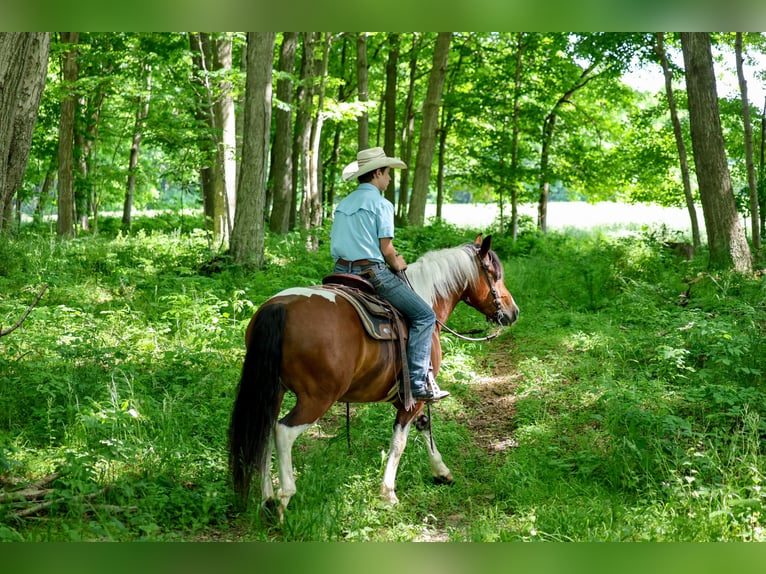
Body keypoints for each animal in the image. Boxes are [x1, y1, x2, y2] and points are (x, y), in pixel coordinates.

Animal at [227, 234, 519, 517]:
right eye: (495, 274)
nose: (513, 312)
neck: (427, 298)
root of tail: (280, 307)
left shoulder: (406, 396)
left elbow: (424, 425)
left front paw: (441, 472)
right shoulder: (416, 394)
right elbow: (399, 441)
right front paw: (388, 493)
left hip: (272, 391)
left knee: (263, 434)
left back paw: (266, 498)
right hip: (316, 398)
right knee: (283, 432)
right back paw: (283, 498)